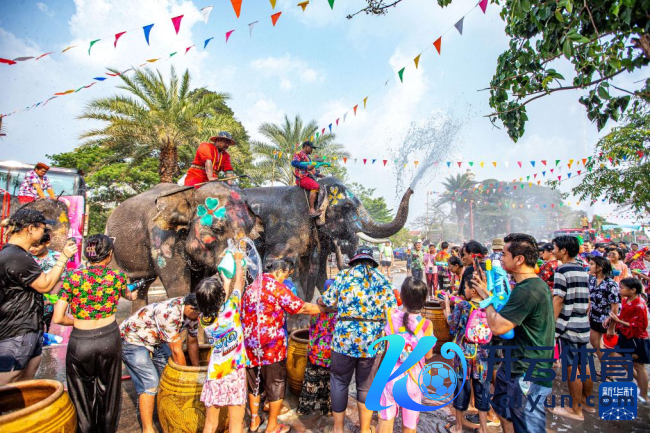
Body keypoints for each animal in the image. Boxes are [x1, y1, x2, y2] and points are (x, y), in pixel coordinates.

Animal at [105, 181, 262, 308]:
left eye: (249, 233)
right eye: (217, 229)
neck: (189, 192)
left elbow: (197, 285)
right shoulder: (162, 239)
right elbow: (178, 288)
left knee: (142, 286)